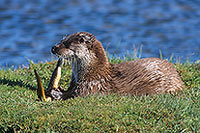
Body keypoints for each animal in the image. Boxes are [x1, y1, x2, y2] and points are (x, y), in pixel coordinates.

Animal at [47, 31, 184, 100]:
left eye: (67, 44)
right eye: (62, 40)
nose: (53, 48)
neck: (92, 72)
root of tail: (179, 79)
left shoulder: (91, 85)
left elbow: (76, 95)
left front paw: (56, 93)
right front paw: (58, 89)